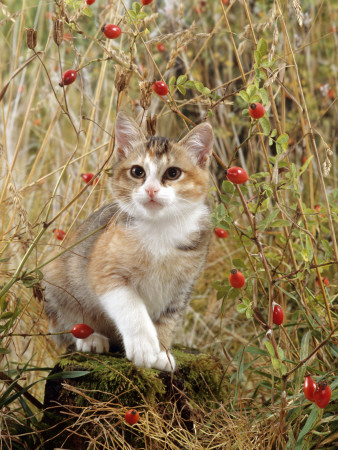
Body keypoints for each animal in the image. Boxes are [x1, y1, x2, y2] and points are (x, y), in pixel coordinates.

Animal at [41, 110, 213, 370]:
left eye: (173, 173)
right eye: (138, 172)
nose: (151, 190)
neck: (160, 229)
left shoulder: (181, 289)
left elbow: (167, 319)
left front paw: (162, 353)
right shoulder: (105, 270)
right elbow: (131, 308)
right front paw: (144, 346)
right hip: (56, 278)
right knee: (67, 321)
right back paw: (91, 338)